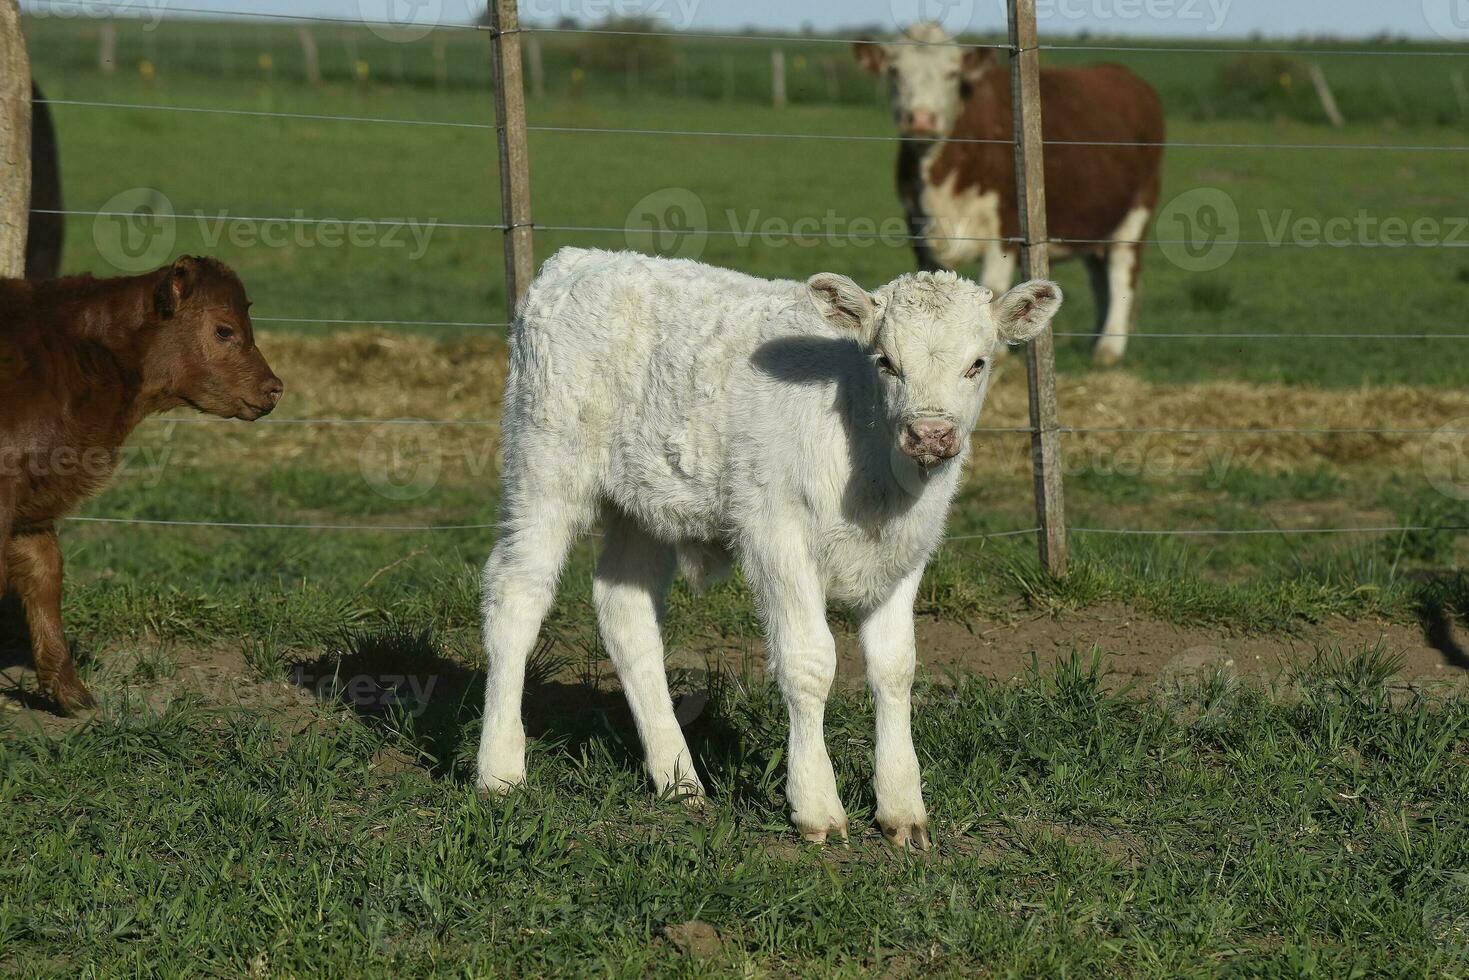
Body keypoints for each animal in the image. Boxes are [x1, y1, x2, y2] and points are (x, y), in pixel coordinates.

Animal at [475, 249, 1063, 846]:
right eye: (886, 362)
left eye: (977, 364)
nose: (929, 435)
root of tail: (579, 258)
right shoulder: (775, 535)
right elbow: (809, 662)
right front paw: (816, 804)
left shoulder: (906, 553)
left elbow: (895, 665)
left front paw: (902, 805)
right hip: (544, 470)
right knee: (516, 597)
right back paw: (499, 769)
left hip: (643, 505)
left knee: (625, 611)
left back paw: (678, 777)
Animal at [857, 23, 1163, 367]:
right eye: (895, 71)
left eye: (952, 73)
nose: (921, 118)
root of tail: (1125, 75)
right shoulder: (916, 223)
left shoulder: (1007, 226)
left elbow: (994, 286)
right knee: (1102, 280)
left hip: (1138, 208)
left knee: (1122, 273)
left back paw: (1109, 348)